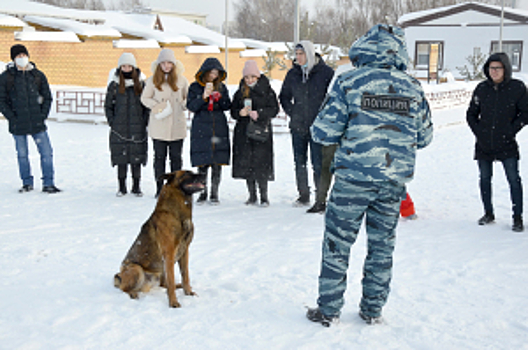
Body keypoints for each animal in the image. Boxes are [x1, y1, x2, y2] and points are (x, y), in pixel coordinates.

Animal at [114, 171, 205, 308]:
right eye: (187, 173)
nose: (204, 173)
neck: (176, 213)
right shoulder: (169, 253)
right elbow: (171, 281)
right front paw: (173, 302)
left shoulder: (184, 251)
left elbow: (185, 275)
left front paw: (187, 292)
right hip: (137, 269)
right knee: (124, 288)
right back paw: (133, 293)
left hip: (161, 268)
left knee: (163, 284)